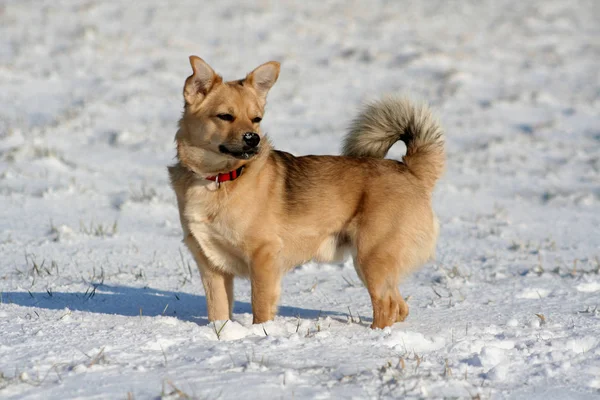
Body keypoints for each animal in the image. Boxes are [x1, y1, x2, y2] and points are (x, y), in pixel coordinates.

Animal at [169, 57, 446, 332]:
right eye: (225, 116)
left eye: (256, 119)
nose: (252, 138)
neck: (219, 178)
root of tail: (411, 170)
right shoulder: (211, 266)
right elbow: (218, 312)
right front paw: (222, 334)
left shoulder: (263, 256)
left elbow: (260, 305)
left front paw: (260, 333)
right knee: (400, 306)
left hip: (372, 257)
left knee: (386, 306)